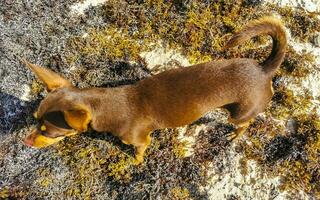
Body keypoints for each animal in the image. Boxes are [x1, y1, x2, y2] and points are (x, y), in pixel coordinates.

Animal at [22, 16, 288, 164]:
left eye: (49, 132)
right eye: (35, 121)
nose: (25, 141)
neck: (106, 104)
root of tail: (263, 69)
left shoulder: (141, 140)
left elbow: (138, 152)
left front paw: (136, 162)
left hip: (239, 113)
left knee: (244, 124)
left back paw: (234, 135)